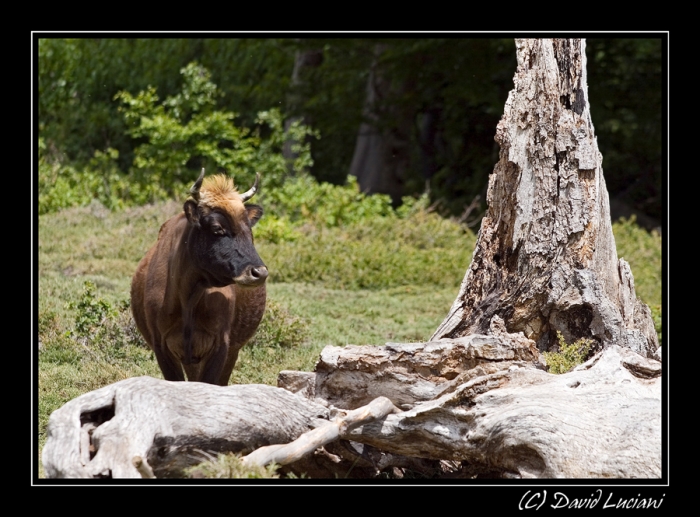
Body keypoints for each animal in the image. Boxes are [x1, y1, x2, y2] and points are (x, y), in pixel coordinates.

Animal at [131, 167, 268, 384]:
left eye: (249, 231)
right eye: (217, 228)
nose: (259, 272)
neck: (187, 297)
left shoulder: (221, 345)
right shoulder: (161, 347)